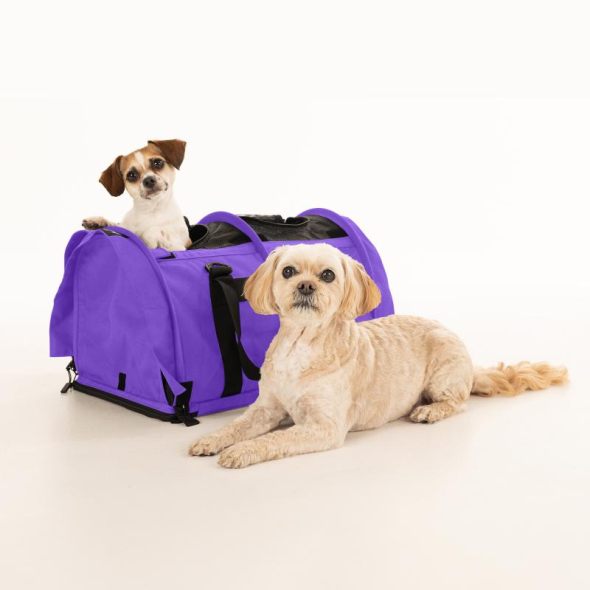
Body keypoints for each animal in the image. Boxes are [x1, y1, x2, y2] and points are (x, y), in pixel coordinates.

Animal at [189, 243, 568, 468]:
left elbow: (275, 438)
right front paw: (212, 440)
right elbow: (236, 425)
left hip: (444, 372)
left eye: (328, 275)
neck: (302, 345)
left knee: (457, 403)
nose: (306, 286)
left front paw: (240, 451)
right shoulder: (266, 408)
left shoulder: (325, 426)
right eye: (288, 271)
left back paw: (429, 410)